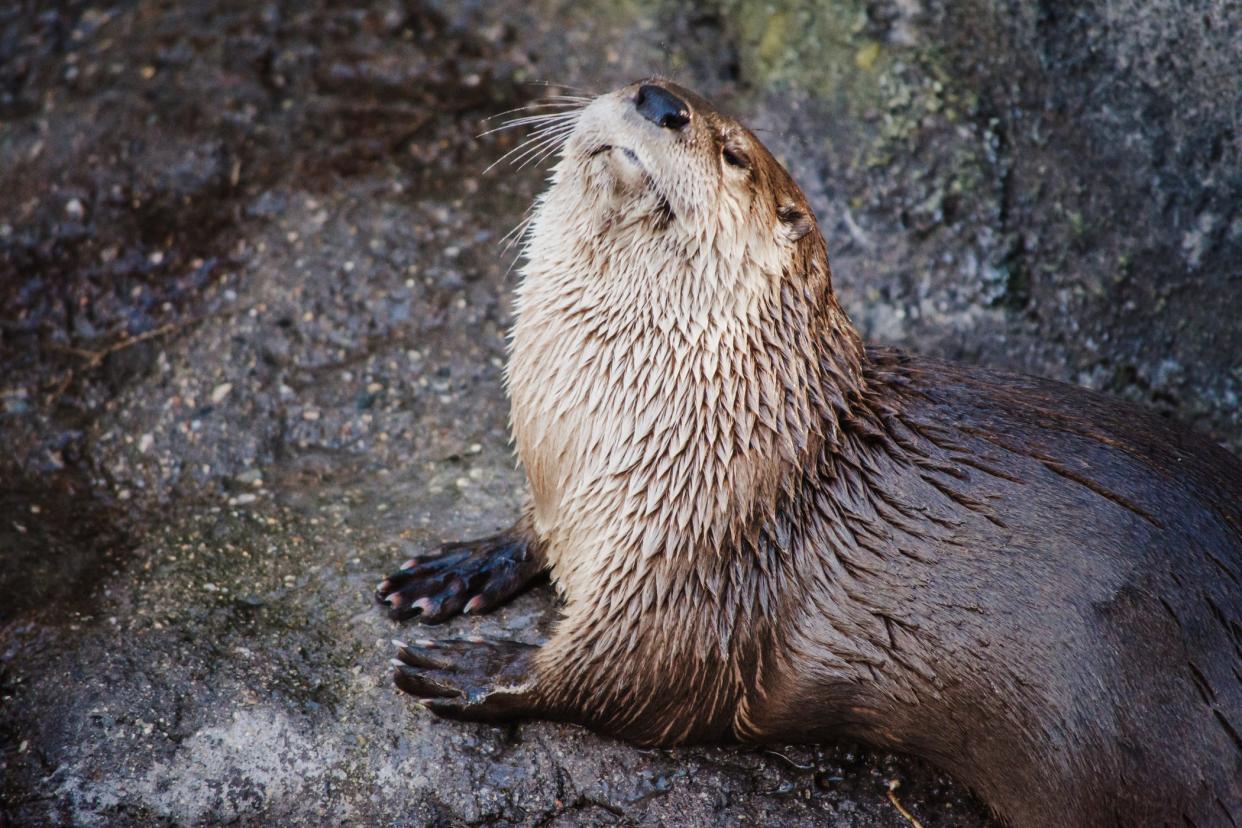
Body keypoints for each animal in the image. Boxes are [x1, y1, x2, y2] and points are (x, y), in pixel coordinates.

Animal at [375, 79, 1242, 828]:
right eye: (641, 85)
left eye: (732, 153)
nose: (659, 99)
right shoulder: (572, 493)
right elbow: (533, 532)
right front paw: (456, 568)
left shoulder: (706, 562)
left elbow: (628, 676)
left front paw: (482, 669)